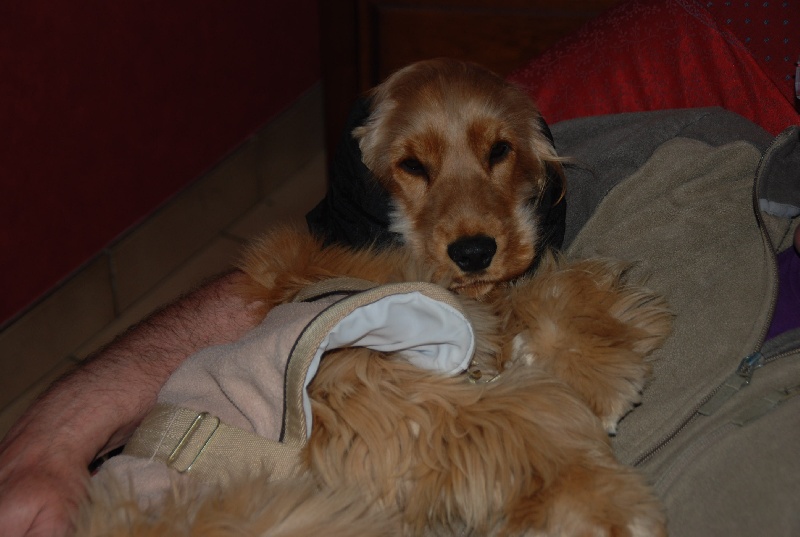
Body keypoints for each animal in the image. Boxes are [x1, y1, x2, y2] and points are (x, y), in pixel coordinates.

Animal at [76, 59, 671, 537]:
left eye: (500, 150)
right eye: (412, 165)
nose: (475, 252)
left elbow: (558, 290)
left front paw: (597, 366)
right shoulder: (379, 390)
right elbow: (526, 415)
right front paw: (602, 508)